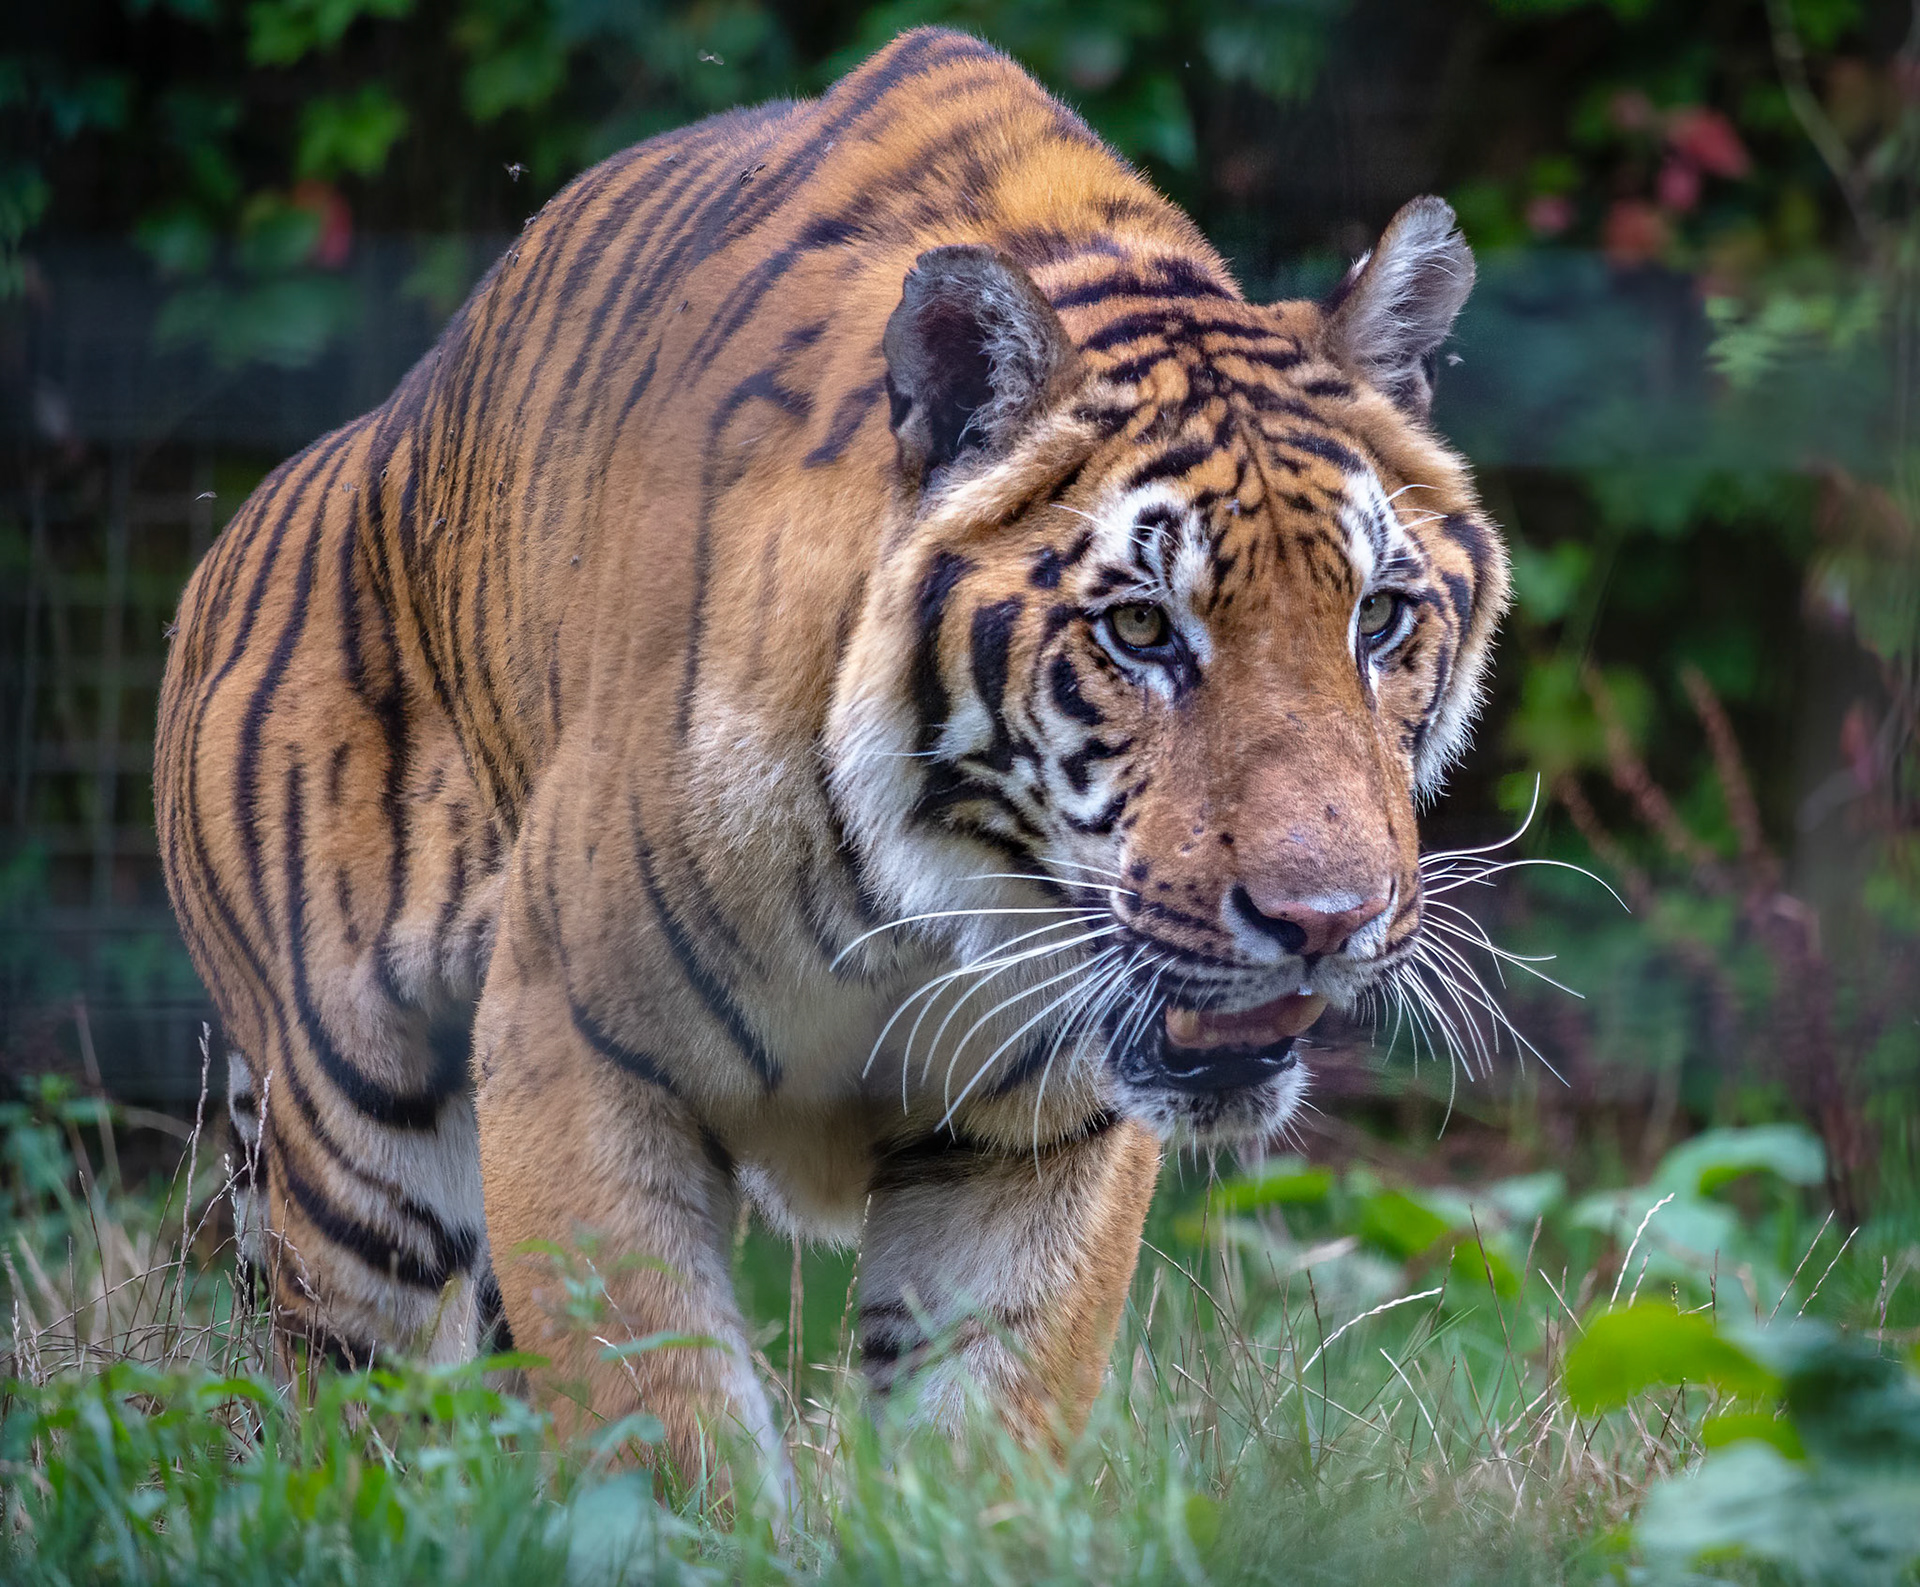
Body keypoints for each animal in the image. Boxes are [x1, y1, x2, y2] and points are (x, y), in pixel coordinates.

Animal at [155, 26, 1507, 1487]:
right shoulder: (570, 1044)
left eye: (1379, 617)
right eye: (1143, 628)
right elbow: (663, 1417)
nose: (1324, 922)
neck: (928, 903)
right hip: (360, 1161)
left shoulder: (1038, 1137)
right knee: (367, 1432)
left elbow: (986, 1422)